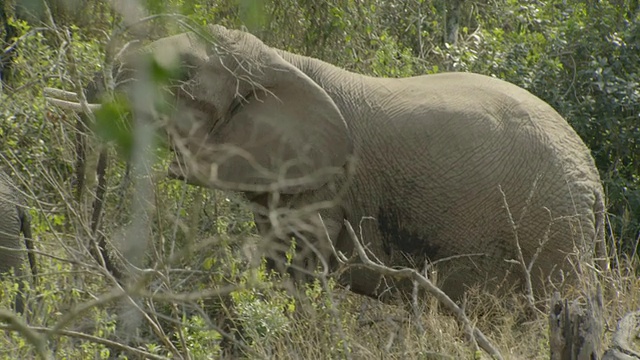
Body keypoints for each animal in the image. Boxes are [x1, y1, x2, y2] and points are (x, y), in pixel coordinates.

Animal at [47, 23, 608, 302]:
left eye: (180, 75)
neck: (277, 57)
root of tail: (594, 181)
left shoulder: (330, 185)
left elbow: (300, 268)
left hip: (550, 232)